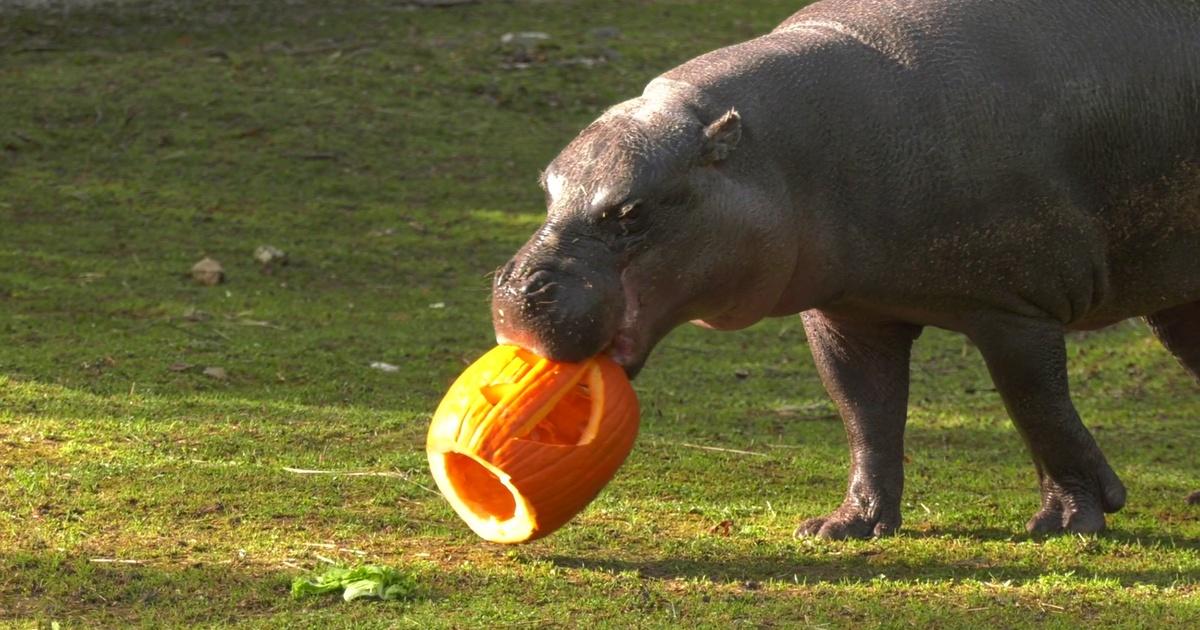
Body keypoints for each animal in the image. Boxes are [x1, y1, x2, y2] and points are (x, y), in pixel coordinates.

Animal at [491, 0, 1200, 538]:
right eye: (547, 186)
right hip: (1177, 301)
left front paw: (1067, 523)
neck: (777, 152)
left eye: (631, 211)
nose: (514, 290)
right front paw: (842, 527)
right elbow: (865, 412)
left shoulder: (1015, 311)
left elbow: (1039, 409)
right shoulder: (847, 313)